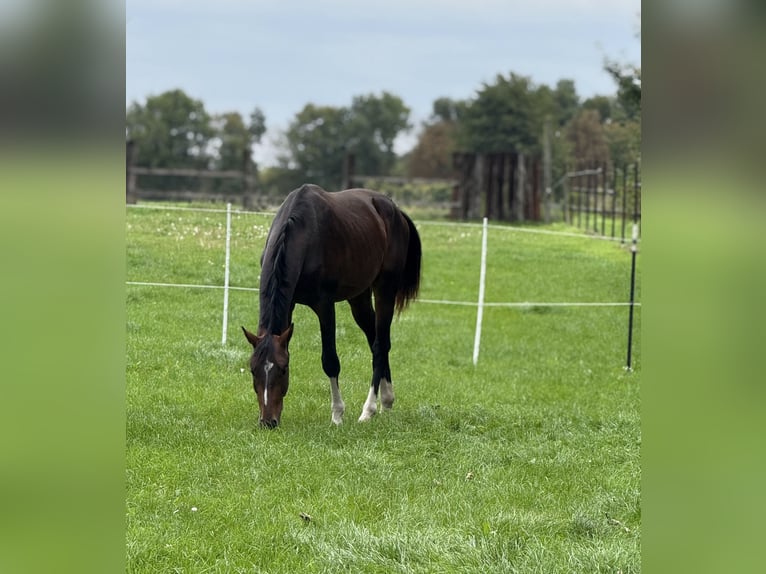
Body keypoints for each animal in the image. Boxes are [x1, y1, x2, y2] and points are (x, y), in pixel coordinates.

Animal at [241, 184, 422, 428]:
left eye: (283, 369)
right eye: (253, 370)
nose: (268, 422)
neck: (302, 233)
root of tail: (395, 210)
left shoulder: (325, 305)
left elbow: (330, 360)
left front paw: (337, 415)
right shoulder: (289, 304)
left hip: (385, 288)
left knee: (380, 344)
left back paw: (369, 409)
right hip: (359, 298)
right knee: (376, 339)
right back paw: (387, 401)